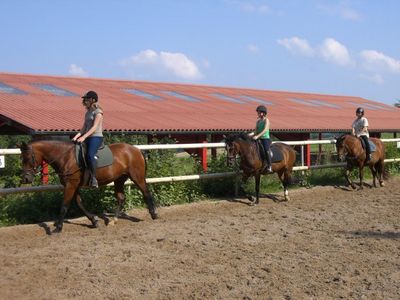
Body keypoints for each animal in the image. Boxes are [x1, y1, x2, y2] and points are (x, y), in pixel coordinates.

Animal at [19, 139, 158, 233]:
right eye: (21, 158)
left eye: (28, 158)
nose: (26, 179)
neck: (65, 157)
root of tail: (137, 150)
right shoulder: (73, 185)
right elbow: (79, 203)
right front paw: (94, 221)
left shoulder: (71, 185)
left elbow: (64, 206)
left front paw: (58, 228)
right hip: (119, 179)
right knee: (121, 198)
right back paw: (114, 220)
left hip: (137, 177)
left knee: (146, 193)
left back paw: (154, 215)